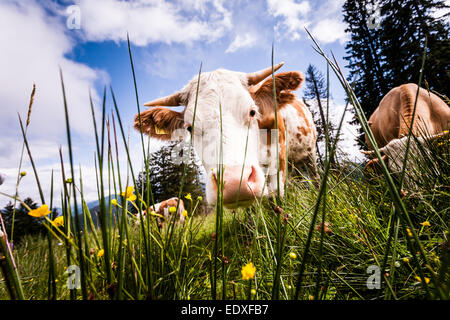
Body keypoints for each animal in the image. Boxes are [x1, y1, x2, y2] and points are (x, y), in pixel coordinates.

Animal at [135, 63, 318, 208]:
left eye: (253, 112)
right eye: (189, 127)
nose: (234, 182)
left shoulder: (279, 158)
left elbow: (276, 195)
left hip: (310, 154)